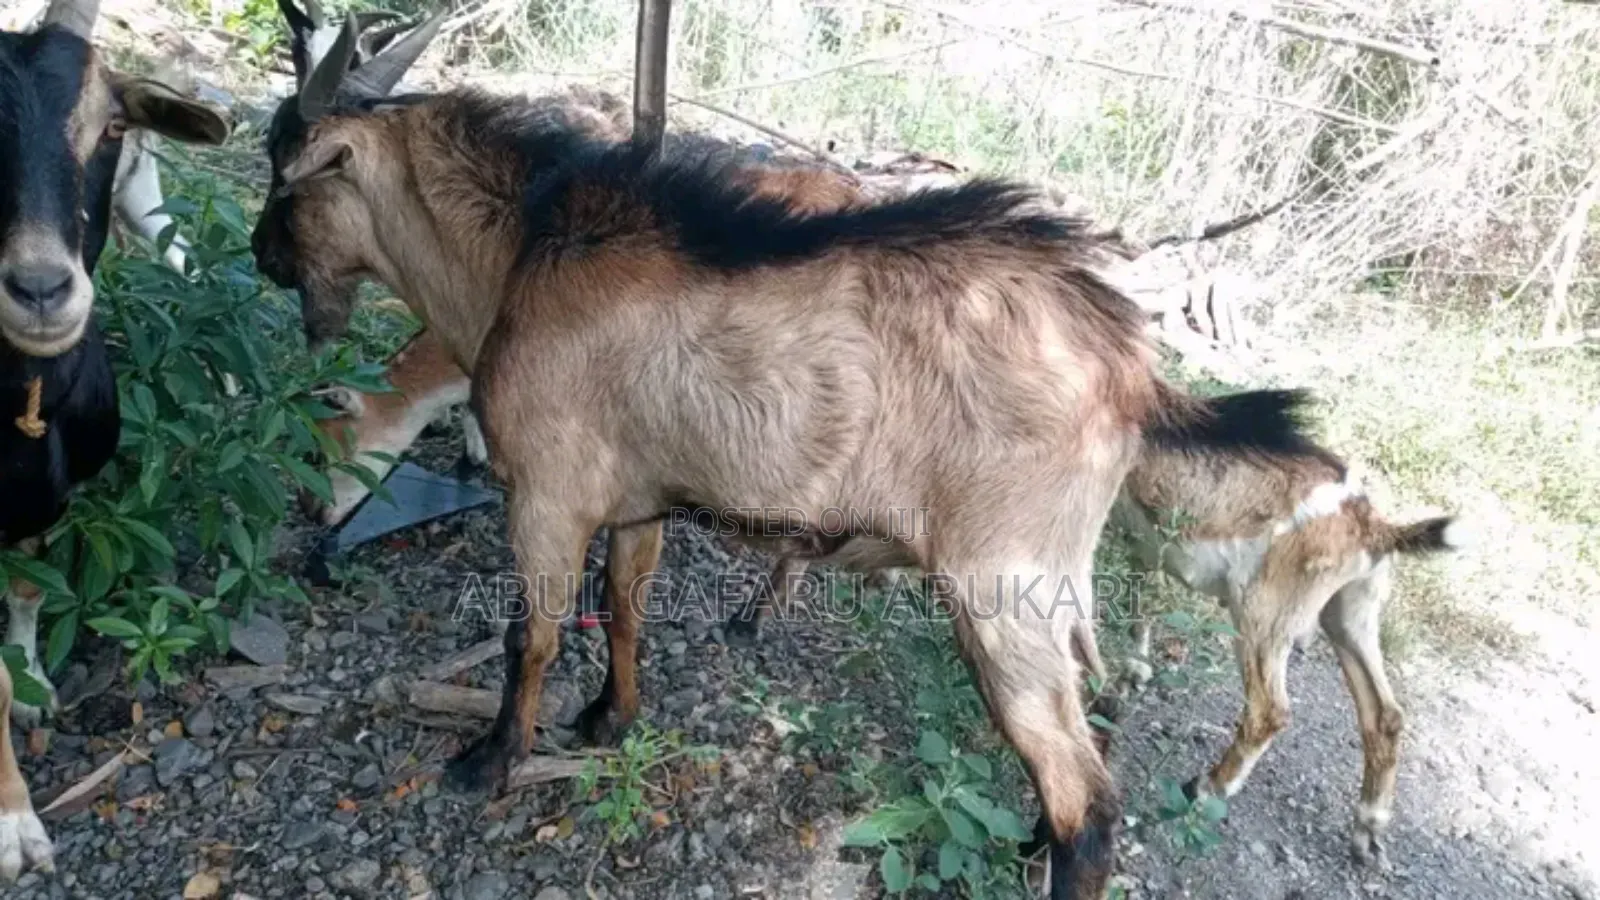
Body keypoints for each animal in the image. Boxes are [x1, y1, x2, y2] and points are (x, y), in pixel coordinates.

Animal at [0, 0, 230, 880]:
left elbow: (30, 593)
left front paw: (35, 683)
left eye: (112, 126)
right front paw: (13, 827)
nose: (39, 289)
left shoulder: (50, 493)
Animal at [248, 16, 1321, 897]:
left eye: (288, 177)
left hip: (1001, 590)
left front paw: (490, 762)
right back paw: (1025, 844)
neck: (522, 253)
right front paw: (609, 720)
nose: (261, 255)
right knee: (1086, 742)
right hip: (1053, 596)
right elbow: (625, 609)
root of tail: (1133, 367)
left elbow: (531, 636)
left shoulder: (546, 494)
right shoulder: (638, 501)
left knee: (1088, 807)